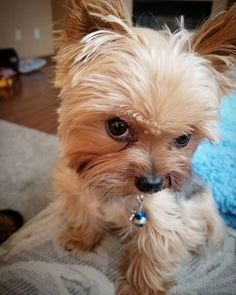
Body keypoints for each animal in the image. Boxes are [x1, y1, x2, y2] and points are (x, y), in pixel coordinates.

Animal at [53, 1, 236, 294]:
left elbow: (153, 254)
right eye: (117, 126)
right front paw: (82, 239)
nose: (153, 184)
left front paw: (140, 287)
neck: (111, 189)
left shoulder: (166, 219)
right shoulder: (75, 190)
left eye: (184, 138)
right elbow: (85, 216)